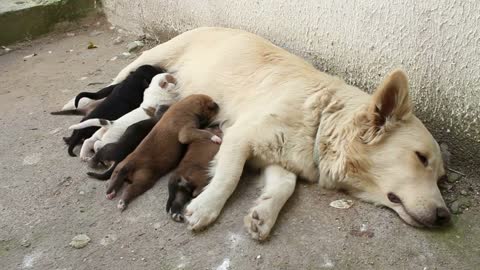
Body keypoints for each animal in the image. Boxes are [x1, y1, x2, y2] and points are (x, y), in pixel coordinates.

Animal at [81, 27, 446, 240]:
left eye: (441, 175)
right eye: (420, 158)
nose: (445, 217)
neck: (320, 120)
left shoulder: (278, 157)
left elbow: (284, 187)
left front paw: (264, 214)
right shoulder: (238, 137)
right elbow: (228, 177)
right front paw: (206, 207)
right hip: (143, 63)